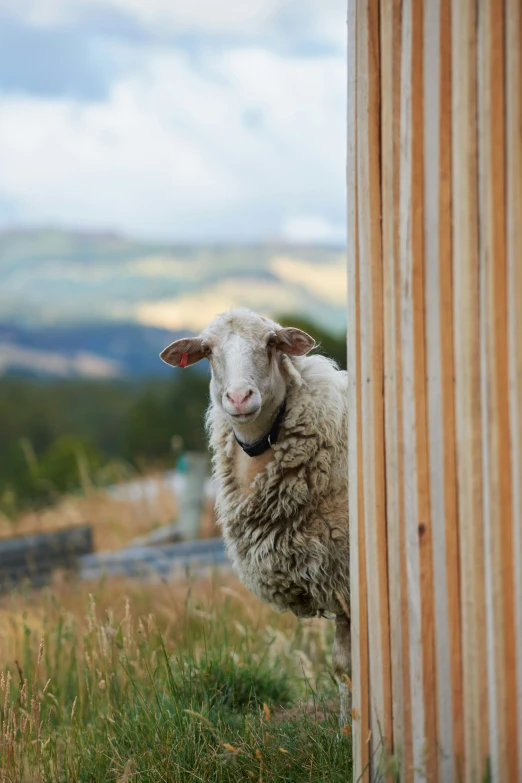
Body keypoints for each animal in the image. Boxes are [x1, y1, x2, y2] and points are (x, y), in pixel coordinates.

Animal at [159, 310, 350, 724]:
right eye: (207, 350)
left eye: (271, 343)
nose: (238, 398)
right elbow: (342, 667)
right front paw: (347, 727)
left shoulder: (345, 575)